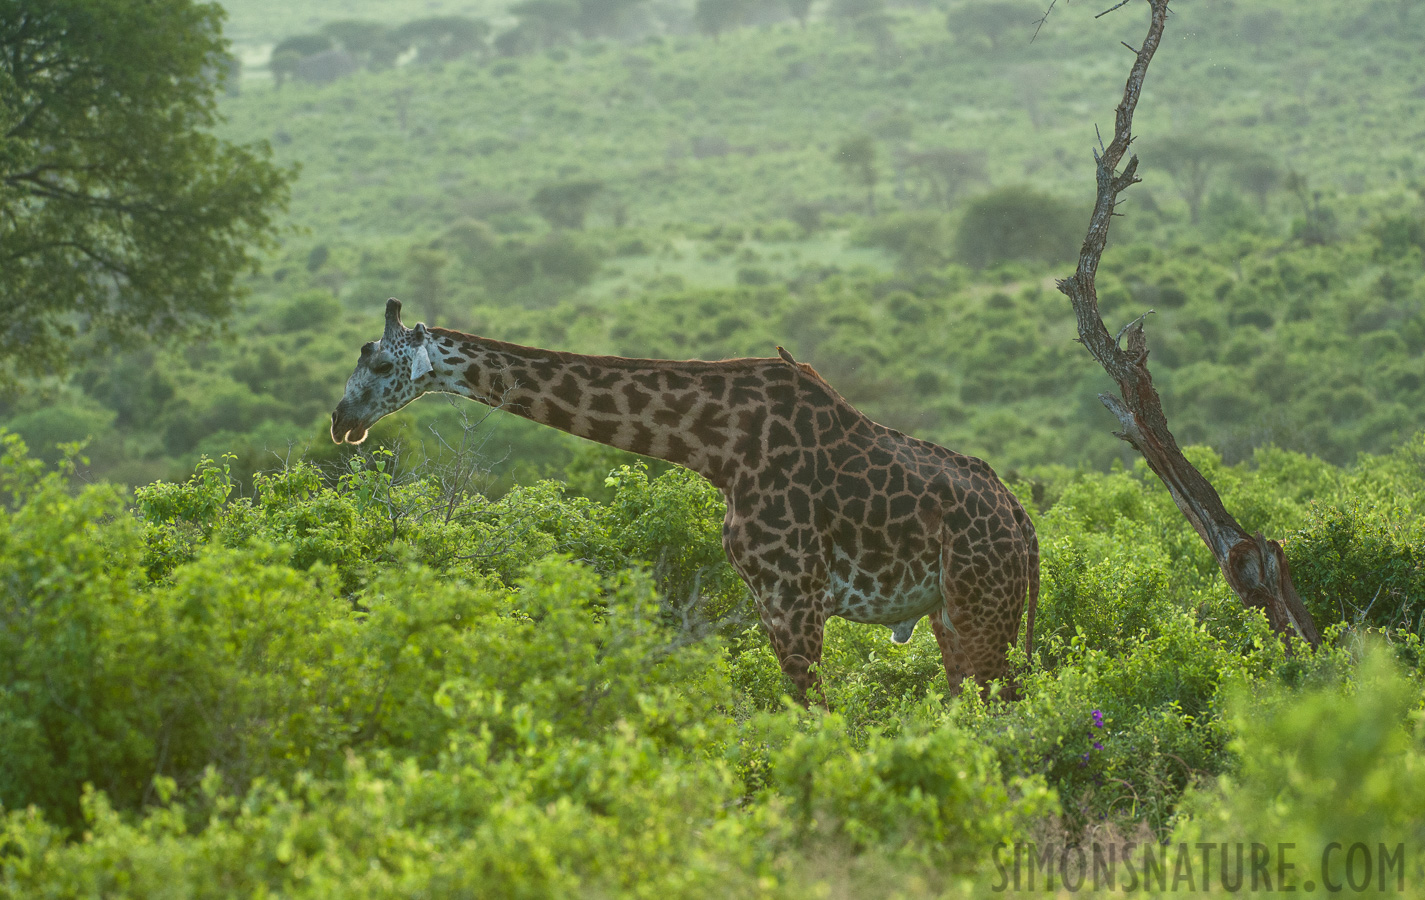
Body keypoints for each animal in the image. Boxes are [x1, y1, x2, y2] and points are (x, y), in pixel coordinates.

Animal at [337, 299, 1043, 700]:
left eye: (380, 365)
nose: (343, 421)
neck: (719, 447)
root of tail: (1023, 522)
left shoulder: (795, 593)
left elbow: (814, 714)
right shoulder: (768, 598)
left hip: (983, 608)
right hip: (951, 615)